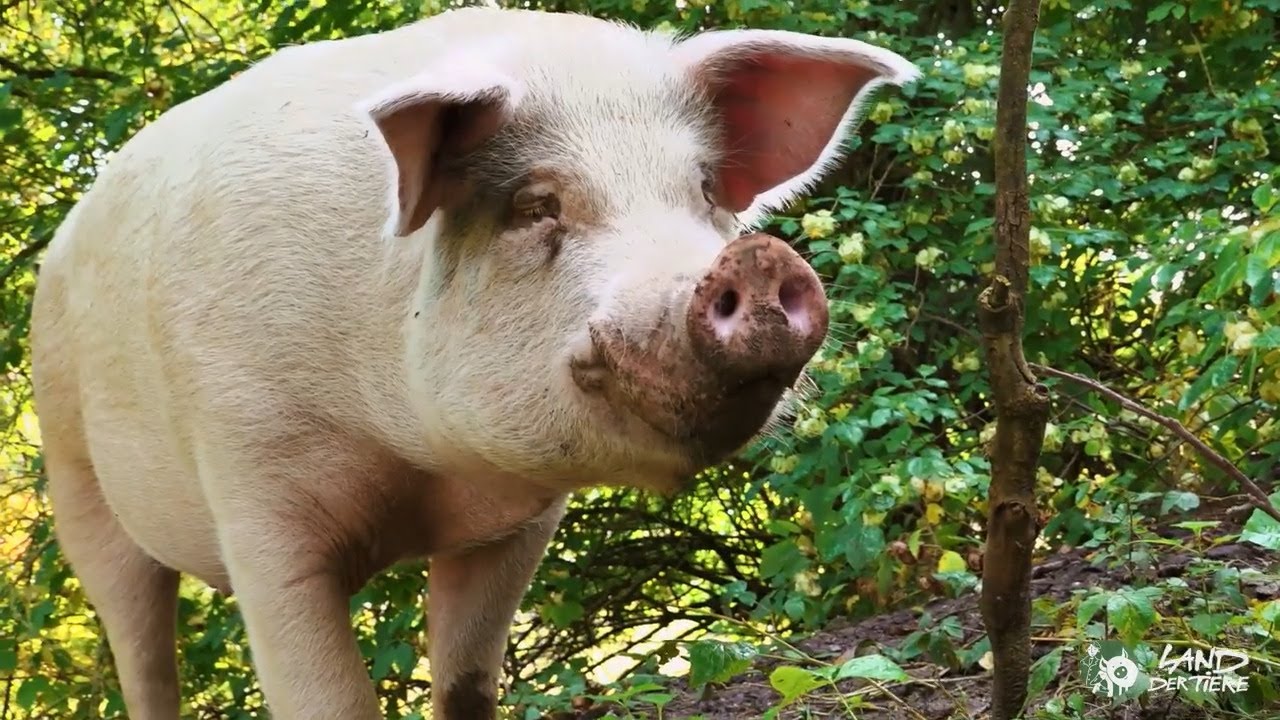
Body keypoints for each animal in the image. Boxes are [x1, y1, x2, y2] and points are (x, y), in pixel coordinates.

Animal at [28, 5, 919, 719]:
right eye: (534, 205)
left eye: (702, 188)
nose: (758, 262)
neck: (420, 459)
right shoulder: (253, 494)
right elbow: (328, 698)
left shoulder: (519, 517)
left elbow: (465, 682)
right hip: (74, 475)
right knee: (140, 651)